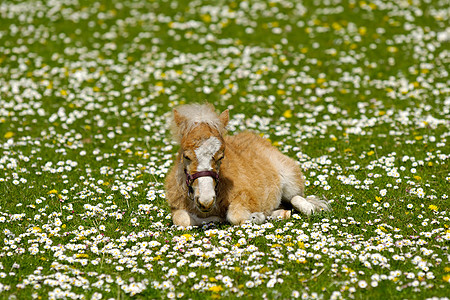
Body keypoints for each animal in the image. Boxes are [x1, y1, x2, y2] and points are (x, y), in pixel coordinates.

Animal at [165, 104, 330, 226]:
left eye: (221, 157)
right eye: (186, 156)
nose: (206, 201)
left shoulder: (247, 195)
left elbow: (235, 215)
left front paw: (256, 217)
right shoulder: (177, 206)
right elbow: (181, 219)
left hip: (290, 180)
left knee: (297, 199)